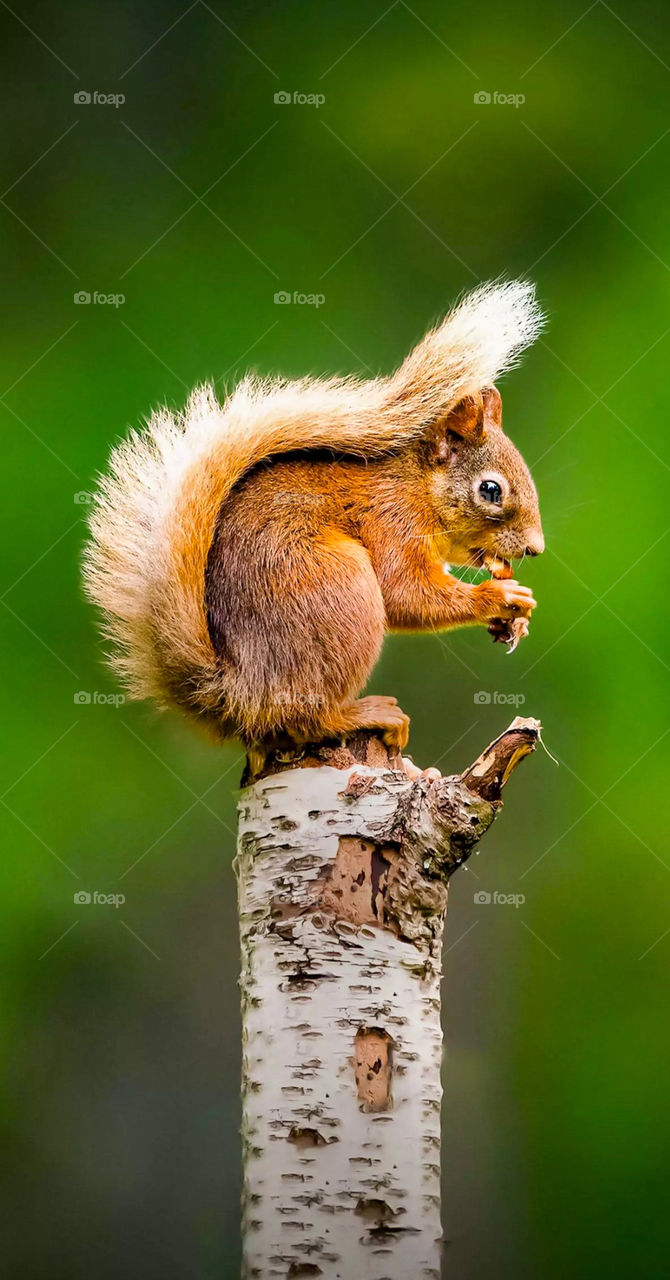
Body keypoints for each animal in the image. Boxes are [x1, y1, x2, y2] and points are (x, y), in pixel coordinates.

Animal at [84, 280, 545, 775]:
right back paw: (365, 713)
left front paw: (514, 620)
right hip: (338, 590)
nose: (535, 548)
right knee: (306, 720)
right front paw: (498, 597)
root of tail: (237, 695)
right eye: (491, 490)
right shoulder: (392, 520)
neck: (417, 486)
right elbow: (406, 595)